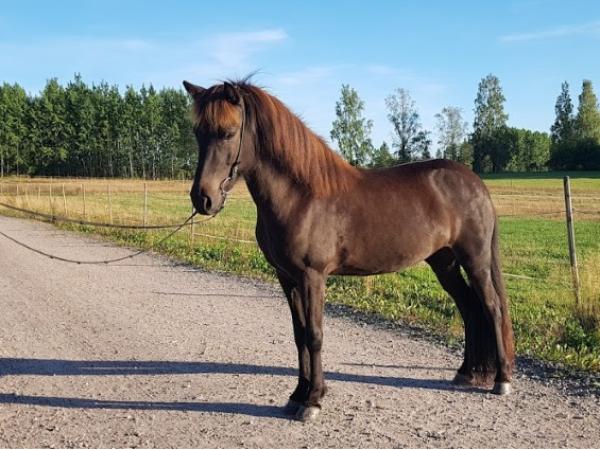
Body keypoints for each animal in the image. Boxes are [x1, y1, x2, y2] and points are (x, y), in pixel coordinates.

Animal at [182, 79, 515, 422]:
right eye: (198, 132)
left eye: (228, 132)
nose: (203, 199)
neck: (300, 196)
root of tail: (474, 182)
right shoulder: (287, 278)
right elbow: (299, 334)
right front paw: (298, 395)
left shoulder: (312, 277)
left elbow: (314, 335)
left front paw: (313, 401)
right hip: (444, 262)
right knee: (469, 308)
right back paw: (467, 372)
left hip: (475, 260)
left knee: (492, 308)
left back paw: (501, 380)